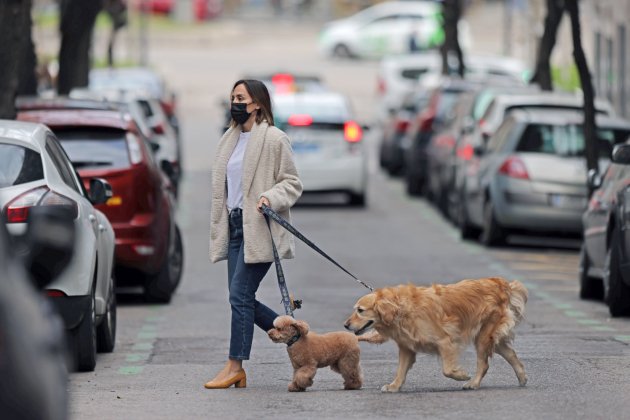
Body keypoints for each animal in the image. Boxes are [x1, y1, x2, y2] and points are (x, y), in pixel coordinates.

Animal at [346, 278, 528, 392]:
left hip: (483, 337)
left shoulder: (445, 341)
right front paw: (394, 386)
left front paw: (461, 375)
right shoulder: (407, 348)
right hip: (491, 337)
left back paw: (473, 383)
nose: (345, 325)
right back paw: (522, 378)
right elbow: (401, 370)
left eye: (360, 310)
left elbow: (447, 370)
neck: (402, 310)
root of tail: (500, 283)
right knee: (512, 355)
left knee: (484, 364)